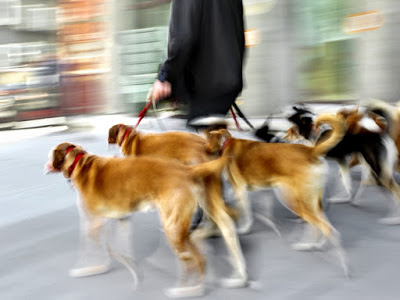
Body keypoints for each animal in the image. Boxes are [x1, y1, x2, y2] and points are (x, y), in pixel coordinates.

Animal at [45, 143, 248, 298]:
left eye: (51, 154)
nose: (45, 165)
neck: (80, 163)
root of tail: (187, 169)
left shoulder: (94, 224)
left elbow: (90, 248)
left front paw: (89, 268)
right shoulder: (121, 220)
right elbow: (120, 249)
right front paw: (132, 272)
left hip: (173, 229)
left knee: (198, 259)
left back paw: (190, 290)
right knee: (201, 249)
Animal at [206, 113, 350, 276]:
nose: (204, 148)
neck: (226, 143)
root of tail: (311, 151)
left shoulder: (240, 190)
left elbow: (246, 213)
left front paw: (244, 229)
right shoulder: (262, 191)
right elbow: (263, 211)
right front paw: (271, 225)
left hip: (291, 199)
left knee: (322, 227)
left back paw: (330, 258)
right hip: (312, 201)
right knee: (323, 226)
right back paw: (314, 245)